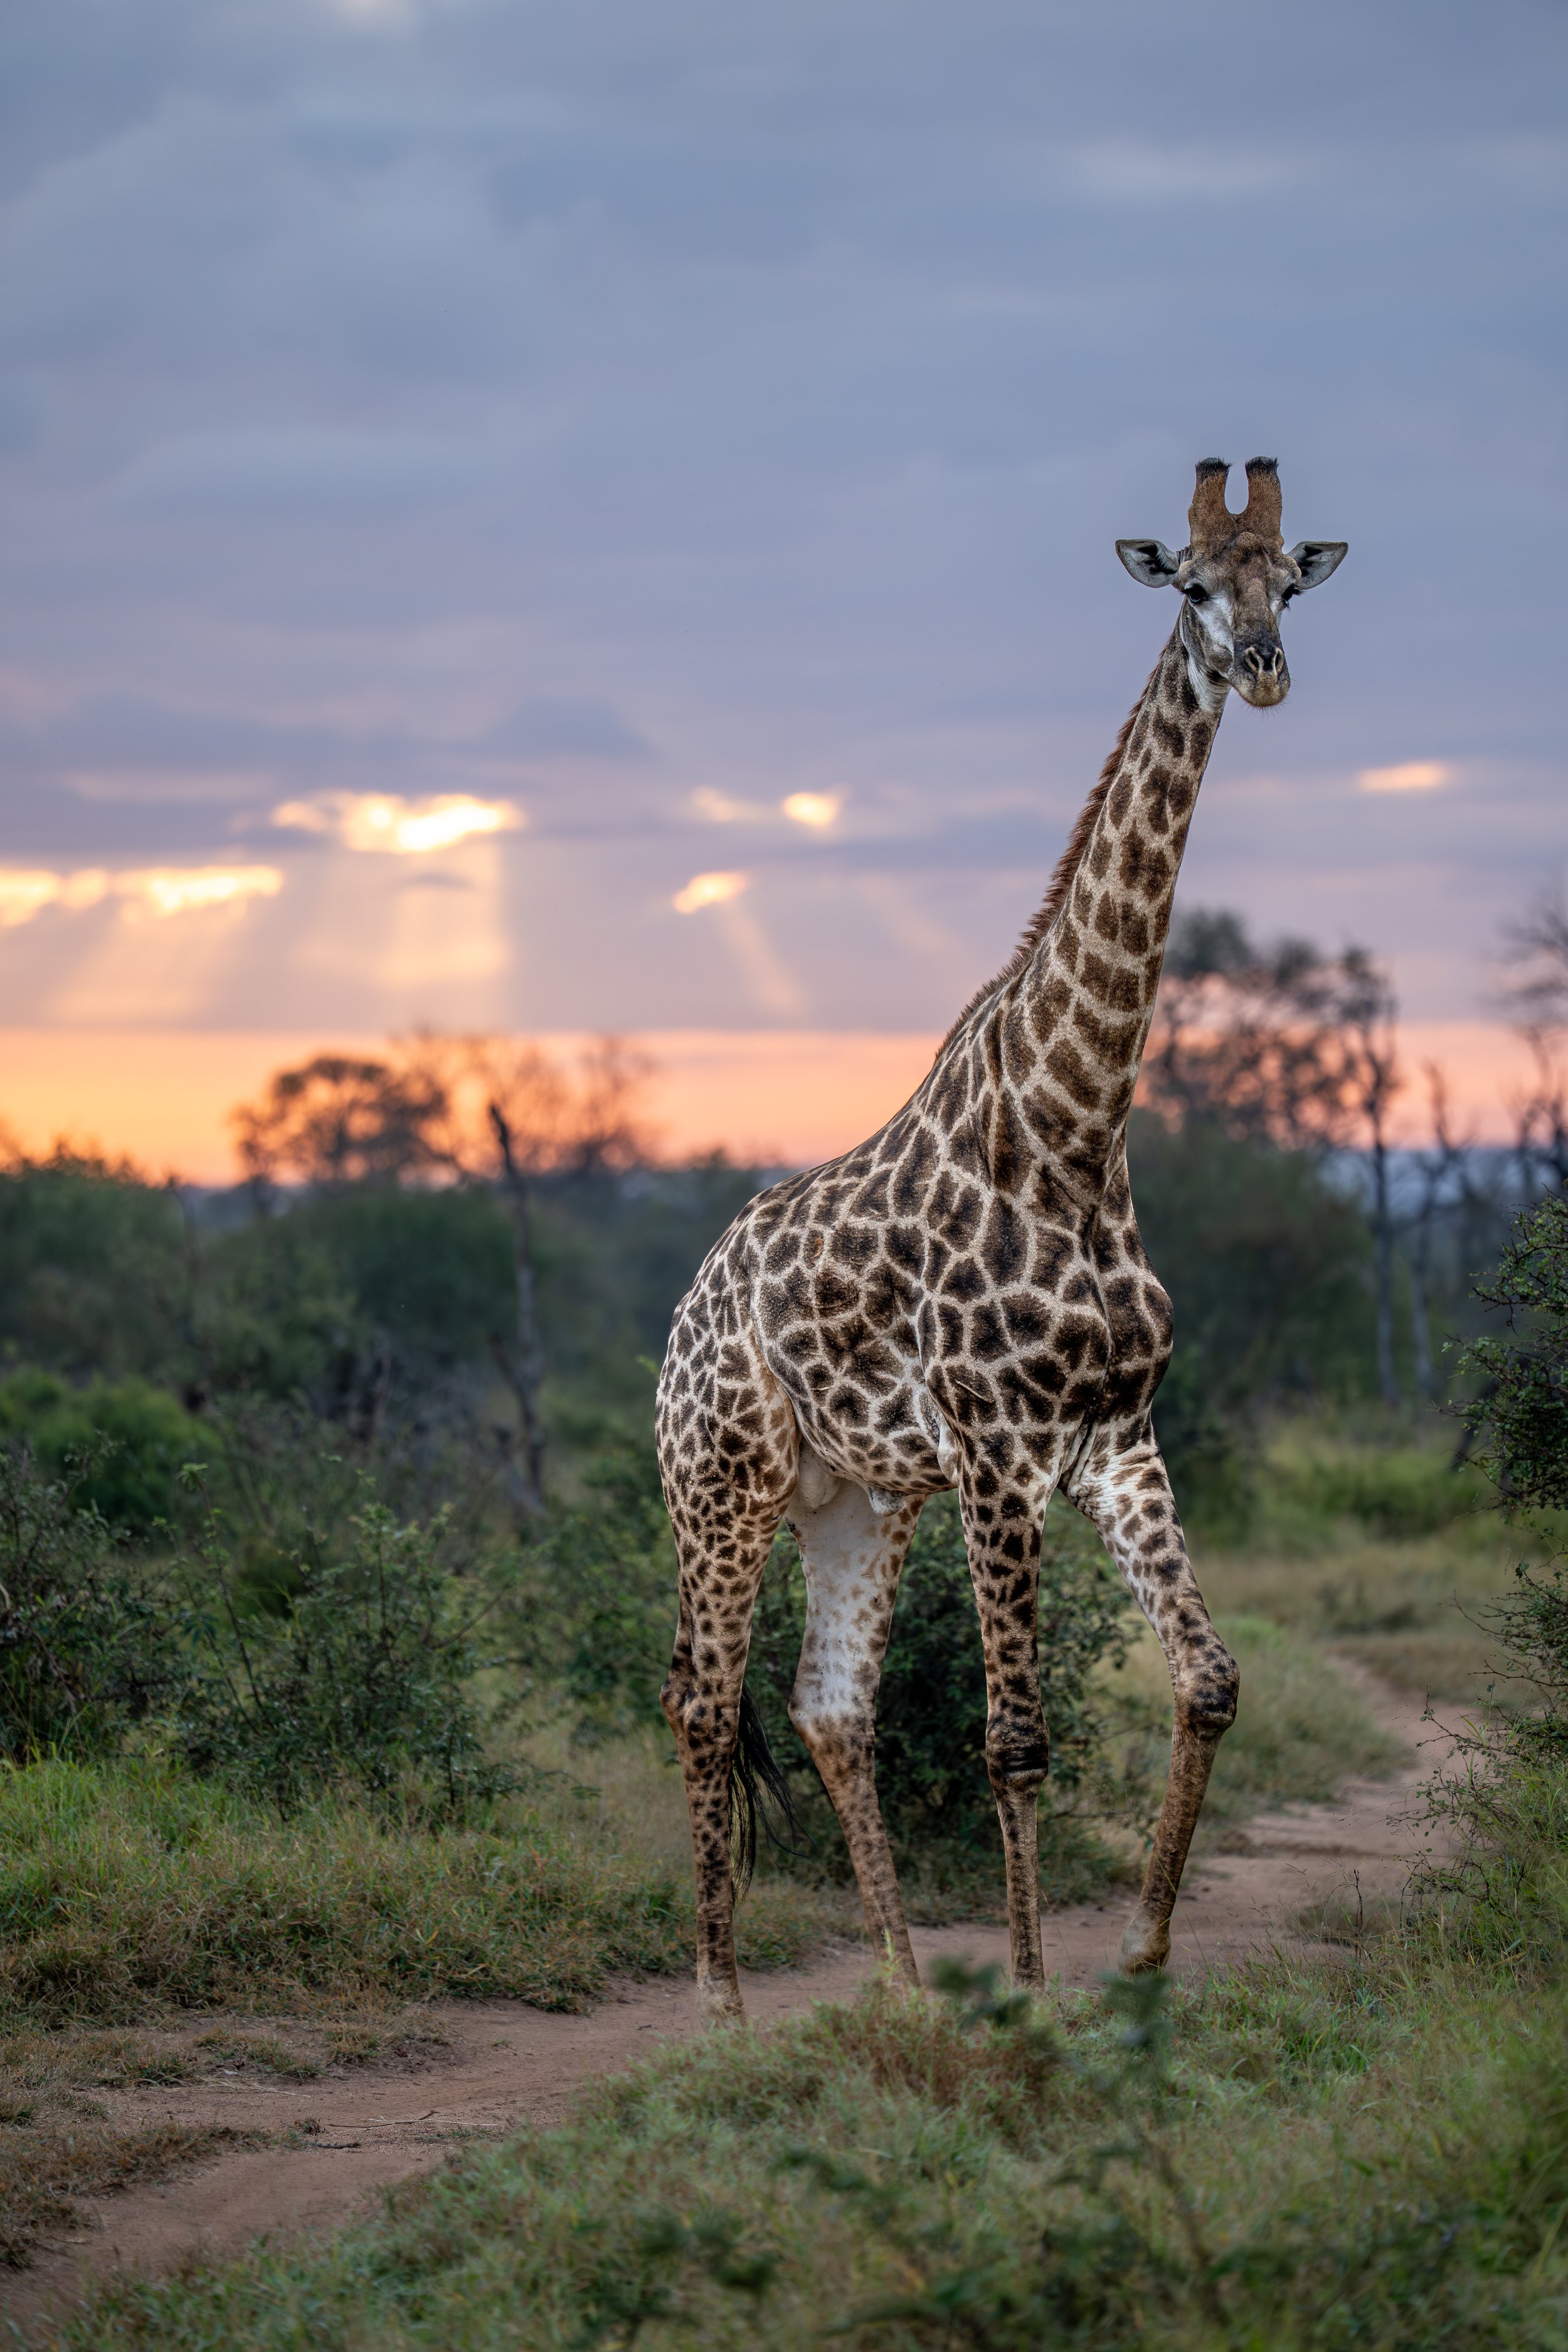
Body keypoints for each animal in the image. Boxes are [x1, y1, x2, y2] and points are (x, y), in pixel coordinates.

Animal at [657, 458, 1348, 2021]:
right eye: (1188, 584)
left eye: (1287, 576)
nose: (1261, 668)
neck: (1074, 1126)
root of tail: (686, 1305)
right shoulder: (995, 1453)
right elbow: (1014, 1741)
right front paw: (1031, 1998)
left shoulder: (1115, 1444)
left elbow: (1208, 1679)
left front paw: (1138, 1962)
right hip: (719, 1485)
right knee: (703, 1700)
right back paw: (718, 2008)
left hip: (855, 1498)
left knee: (825, 1707)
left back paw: (905, 1990)